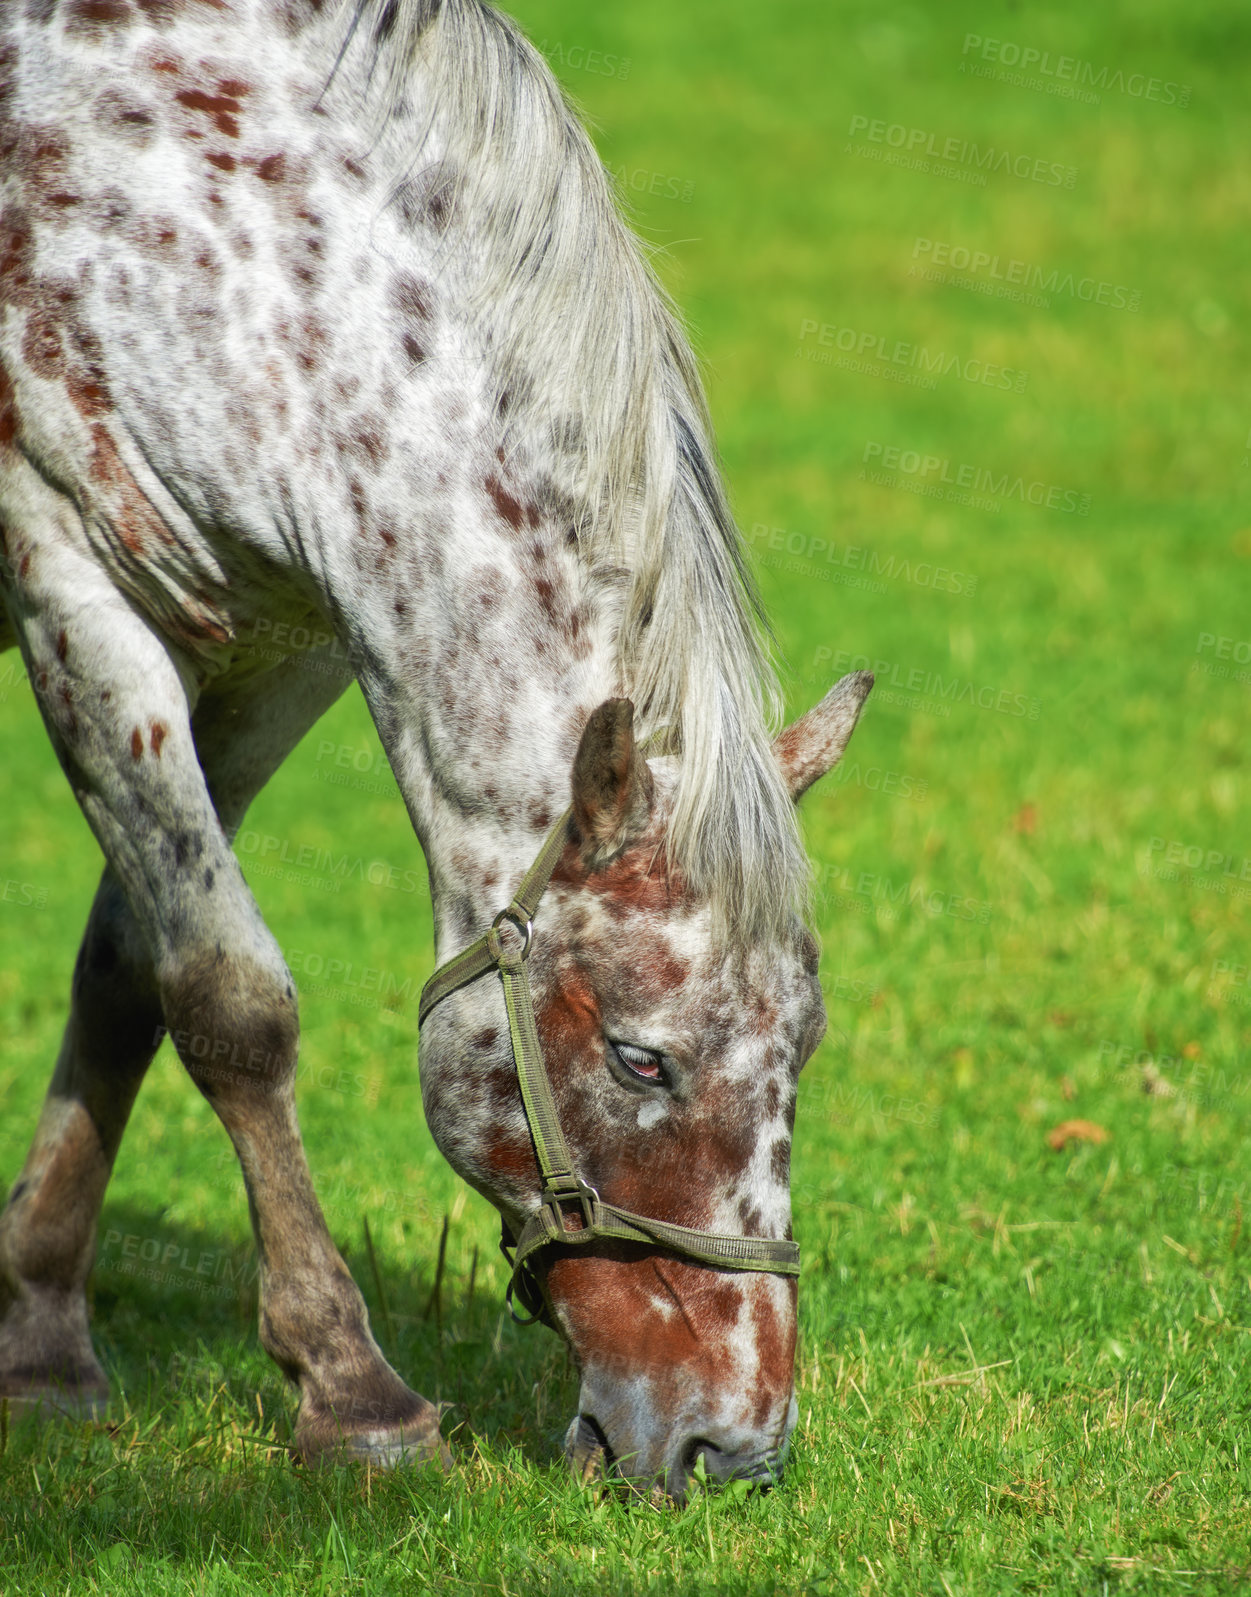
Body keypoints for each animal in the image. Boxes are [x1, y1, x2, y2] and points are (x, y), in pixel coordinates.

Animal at [0, 0, 875, 1501]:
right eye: (641, 1060)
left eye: (803, 1047)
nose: (733, 1447)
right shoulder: (71, 583)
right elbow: (231, 999)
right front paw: (349, 1386)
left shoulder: (274, 649)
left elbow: (124, 976)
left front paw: (42, 1335)